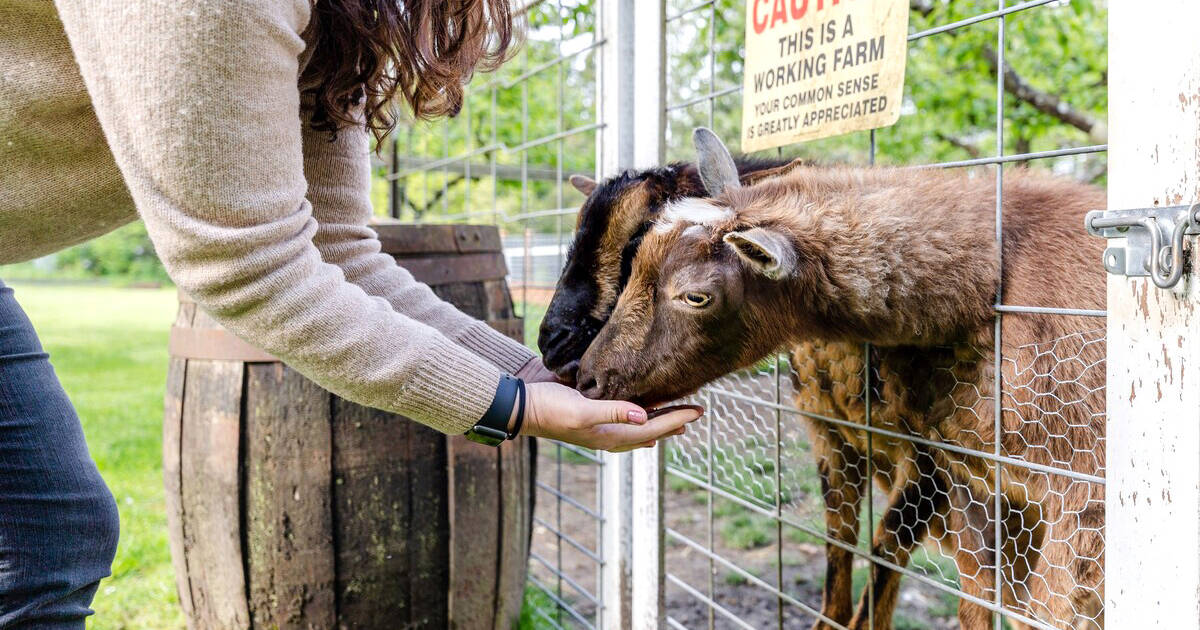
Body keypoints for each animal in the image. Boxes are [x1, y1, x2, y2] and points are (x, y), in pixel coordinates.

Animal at [576, 129, 1099, 628]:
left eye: (697, 296)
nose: (588, 380)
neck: (994, 279)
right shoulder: (975, 481)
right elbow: (984, 596)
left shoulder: (1079, 493)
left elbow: (1042, 609)